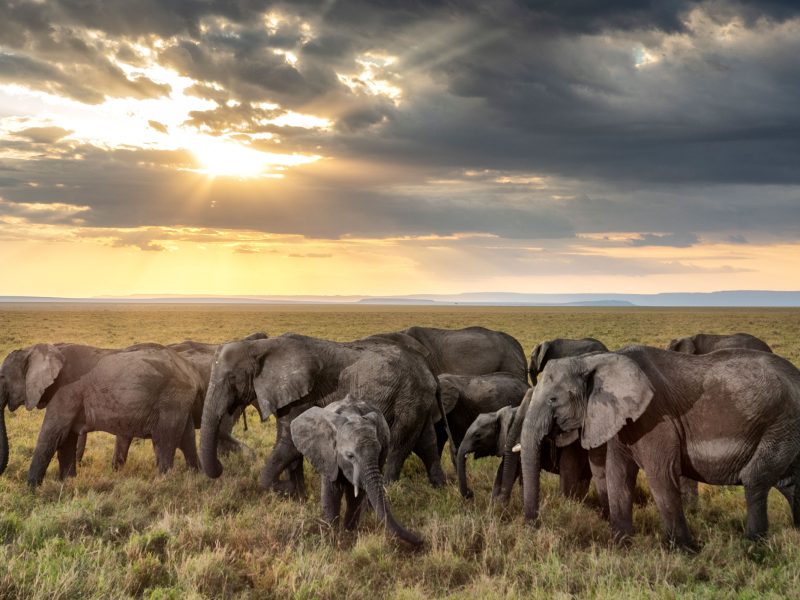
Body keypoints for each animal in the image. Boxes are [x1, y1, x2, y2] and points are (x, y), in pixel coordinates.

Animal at [2, 343, 204, 486]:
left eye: (2, 377)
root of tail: (191, 370)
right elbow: (66, 439)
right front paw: (67, 483)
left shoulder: (66, 392)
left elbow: (53, 435)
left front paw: (30, 490)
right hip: (180, 401)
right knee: (186, 438)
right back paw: (196, 478)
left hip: (171, 399)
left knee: (164, 440)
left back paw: (161, 483)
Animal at [199, 333, 446, 498]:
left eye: (232, 378)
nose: (221, 467)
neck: (261, 346)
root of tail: (427, 366)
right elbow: (290, 440)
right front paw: (297, 495)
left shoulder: (305, 395)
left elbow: (289, 442)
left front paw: (288, 490)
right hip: (417, 399)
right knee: (427, 441)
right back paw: (441, 488)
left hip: (409, 396)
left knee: (398, 443)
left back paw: (389, 489)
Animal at [290, 396, 423, 548]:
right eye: (350, 456)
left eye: (379, 452)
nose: (421, 539)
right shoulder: (326, 455)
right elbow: (331, 492)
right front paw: (334, 535)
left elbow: (356, 497)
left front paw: (349, 534)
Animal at [520, 346, 800, 549]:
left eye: (553, 399)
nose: (533, 526)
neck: (595, 361)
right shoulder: (624, 419)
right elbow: (618, 475)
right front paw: (621, 547)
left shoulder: (654, 418)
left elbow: (661, 476)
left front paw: (686, 552)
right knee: (790, 483)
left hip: (781, 422)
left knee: (755, 478)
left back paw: (752, 548)